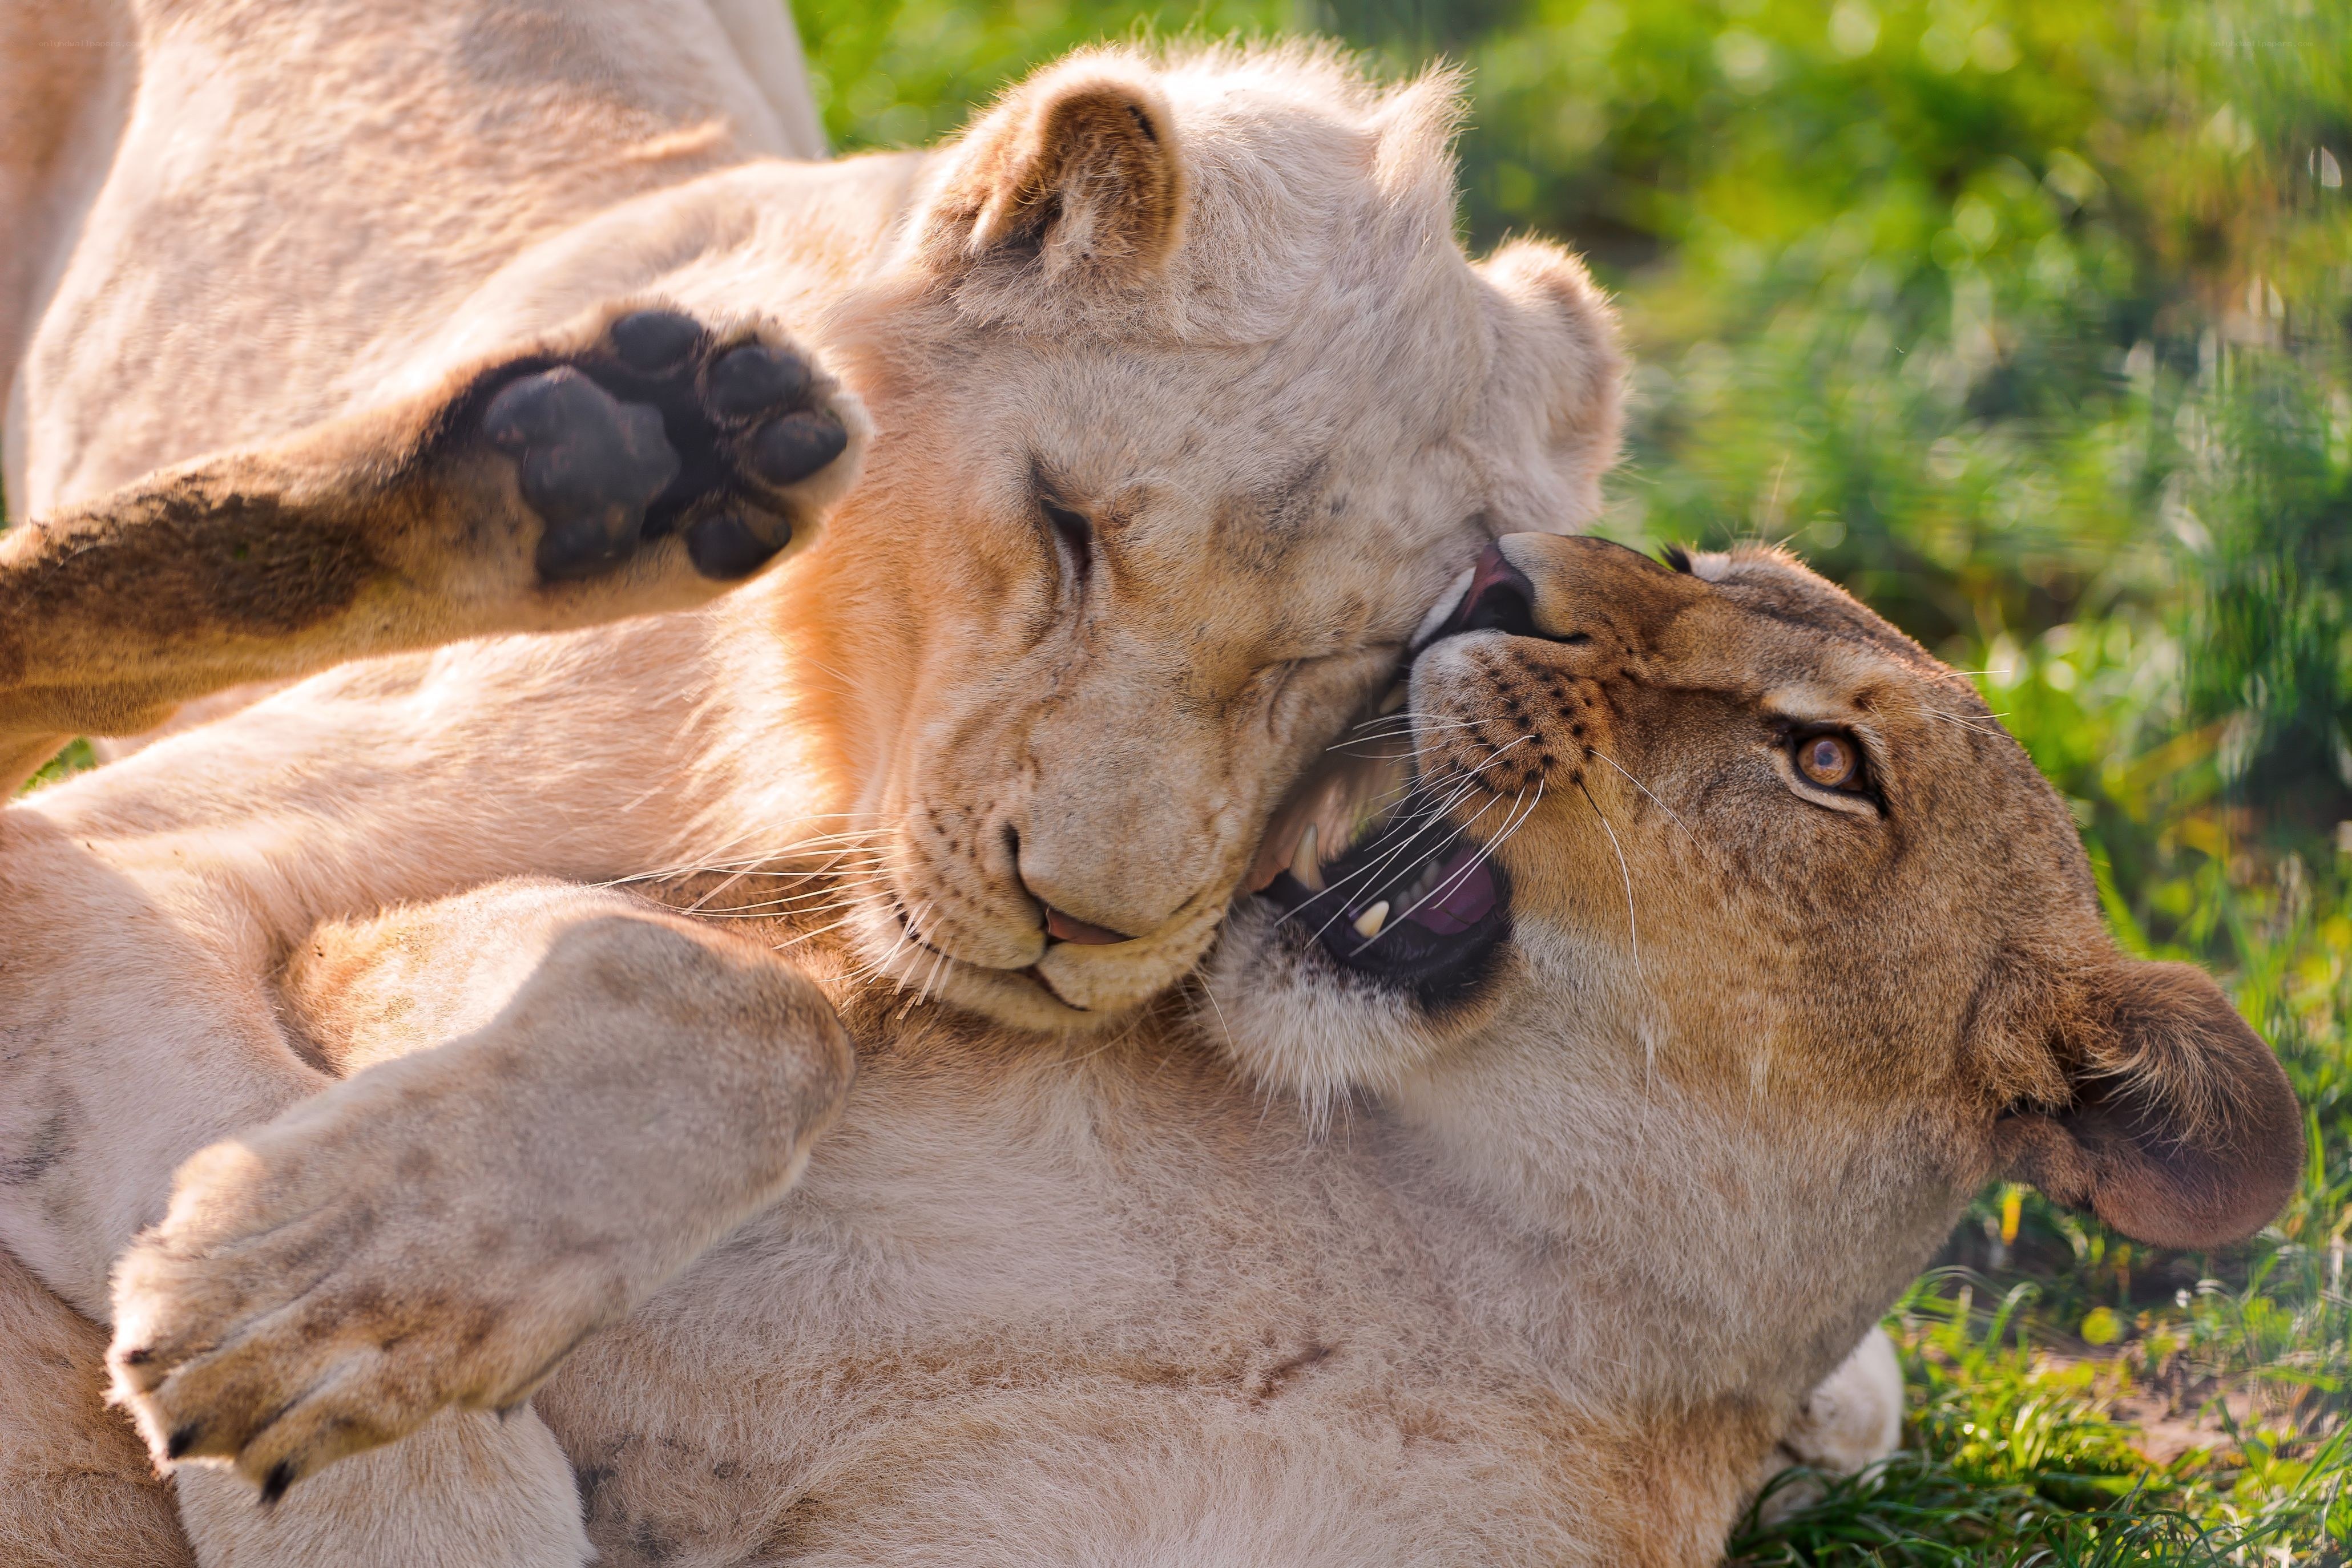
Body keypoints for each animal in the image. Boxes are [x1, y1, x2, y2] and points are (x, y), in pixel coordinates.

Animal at [11, 534, 2300, 1566]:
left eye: (1828, 762)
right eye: (1693, 558)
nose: (1497, 567)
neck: (1447, 1252)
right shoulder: (401, 946)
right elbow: (737, 1002)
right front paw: (293, 1312)